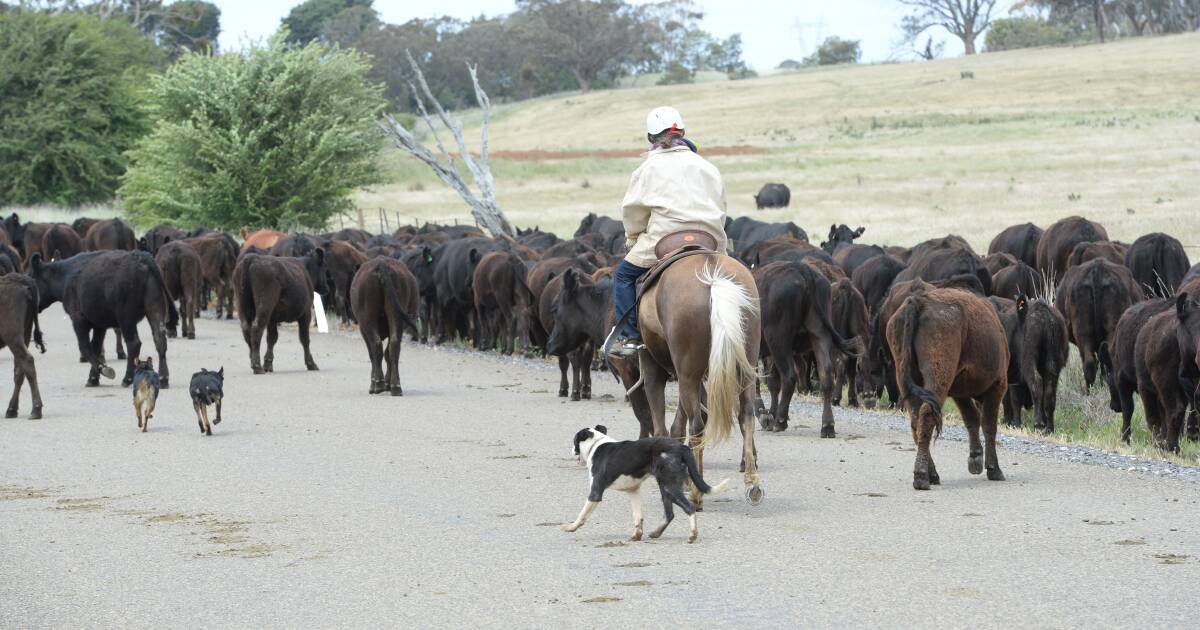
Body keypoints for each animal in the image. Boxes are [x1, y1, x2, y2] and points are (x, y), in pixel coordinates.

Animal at [350, 255, 420, 393]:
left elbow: (373, 354)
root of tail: (382, 263)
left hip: (368, 318)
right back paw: (395, 386)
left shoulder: (363, 329)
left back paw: (377, 384)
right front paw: (389, 382)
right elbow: (388, 354)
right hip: (397, 316)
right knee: (394, 345)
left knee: (376, 346)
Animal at [561, 424, 729, 542]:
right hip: (665, 488)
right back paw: (656, 533)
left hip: (670, 487)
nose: (571, 450)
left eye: (574, 441)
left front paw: (572, 527)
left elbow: (582, 515)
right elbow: (638, 516)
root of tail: (681, 447)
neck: (596, 444)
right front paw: (637, 535)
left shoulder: (595, 492)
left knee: (689, 507)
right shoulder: (633, 490)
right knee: (669, 514)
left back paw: (692, 535)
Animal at [633, 253, 763, 504]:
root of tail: (713, 276)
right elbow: (677, 425)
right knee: (746, 414)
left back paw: (697, 492)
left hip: (688, 375)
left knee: (696, 425)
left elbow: (663, 425)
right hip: (745, 368)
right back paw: (752, 483)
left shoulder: (653, 368)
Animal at [888, 286, 1008, 489]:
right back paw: (921, 477)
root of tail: (919, 301)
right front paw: (994, 469)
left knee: (916, 421)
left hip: (905, 378)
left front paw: (975, 459)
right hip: (938, 376)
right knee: (927, 413)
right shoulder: (998, 385)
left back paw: (932, 474)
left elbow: (972, 419)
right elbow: (989, 424)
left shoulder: (959, 392)